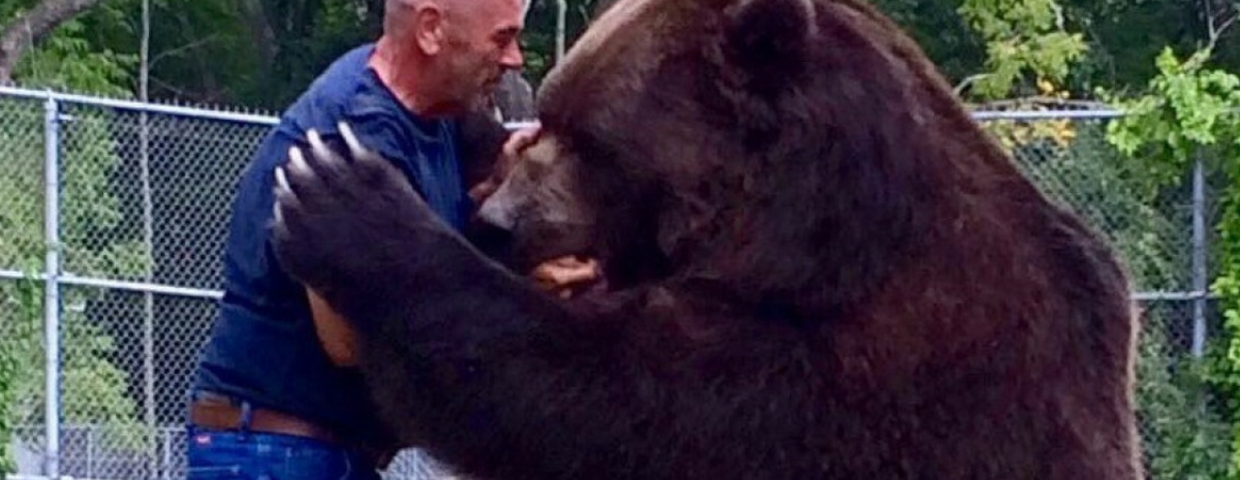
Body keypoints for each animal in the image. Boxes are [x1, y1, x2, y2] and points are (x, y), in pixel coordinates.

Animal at [268, 0, 1144, 478]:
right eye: (547, 115)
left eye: (592, 139)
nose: (498, 219)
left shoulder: (864, 370)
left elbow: (603, 399)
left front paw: (343, 201)